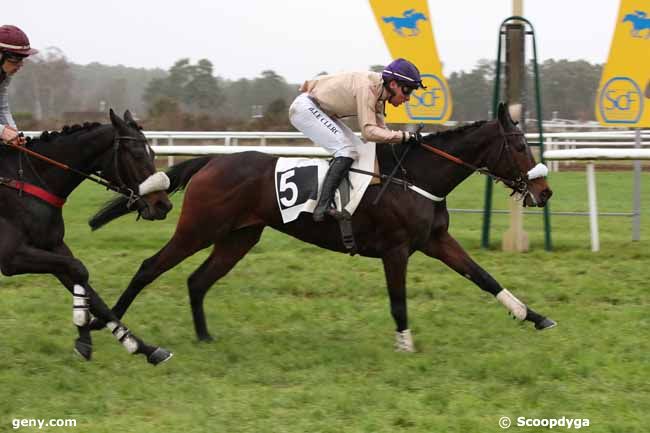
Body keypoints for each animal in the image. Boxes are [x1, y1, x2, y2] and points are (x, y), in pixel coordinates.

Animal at [0, 109, 173, 362]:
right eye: (137, 154)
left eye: (152, 152)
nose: (163, 205)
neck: (26, 181)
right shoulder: (11, 257)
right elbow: (80, 269)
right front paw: (83, 338)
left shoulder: (53, 246)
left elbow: (91, 292)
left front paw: (140, 346)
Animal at [91, 102, 556, 352]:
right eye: (519, 145)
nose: (545, 190)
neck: (417, 176)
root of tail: (210, 161)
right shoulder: (395, 250)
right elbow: (398, 301)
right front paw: (405, 345)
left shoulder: (437, 241)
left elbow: (483, 277)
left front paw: (534, 316)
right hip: (197, 229)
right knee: (149, 267)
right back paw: (108, 324)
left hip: (239, 237)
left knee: (198, 280)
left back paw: (205, 337)